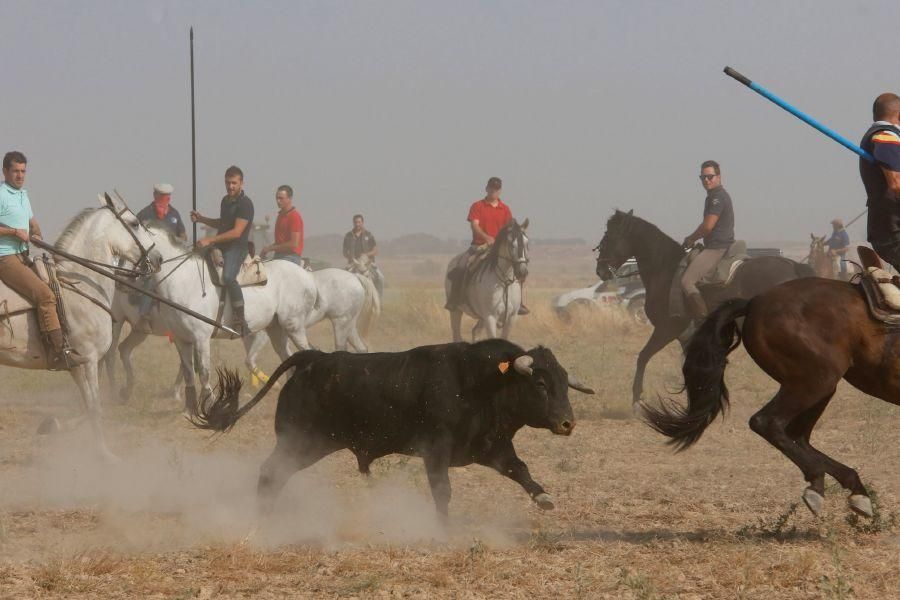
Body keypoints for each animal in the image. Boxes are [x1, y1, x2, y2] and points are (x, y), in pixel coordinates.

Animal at [0, 195, 158, 462]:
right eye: (135, 223)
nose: (158, 259)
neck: (80, 284)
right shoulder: (90, 359)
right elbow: (95, 408)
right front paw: (105, 455)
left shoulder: (76, 364)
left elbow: (87, 406)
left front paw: (51, 426)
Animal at [192, 340, 592, 512]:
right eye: (540, 384)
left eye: (563, 381)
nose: (567, 423)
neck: (481, 382)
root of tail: (314, 359)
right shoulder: (436, 450)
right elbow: (442, 490)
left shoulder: (492, 446)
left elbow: (519, 469)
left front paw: (543, 497)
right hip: (300, 442)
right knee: (270, 472)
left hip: (310, 445)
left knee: (275, 474)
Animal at [596, 210, 812, 408]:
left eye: (609, 237)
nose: (600, 271)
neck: (665, 270)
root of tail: (794, 267)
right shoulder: (685, 335)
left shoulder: (667, 329)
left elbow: (643, 357)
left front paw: (637, 401)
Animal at [644, 278, 896, 516]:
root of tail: (754, 302)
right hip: (814, 380)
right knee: (767, 422)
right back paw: (818, 483)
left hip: (819, 386)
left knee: (797, 435)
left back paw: (852, 488)